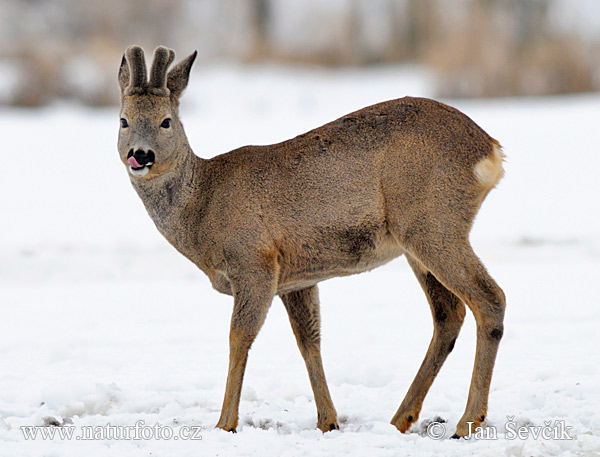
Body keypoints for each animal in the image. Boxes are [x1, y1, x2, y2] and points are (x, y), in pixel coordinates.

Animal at [117, 45, 506, 434]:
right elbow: (309, 339)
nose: (140, 154)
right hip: (420, 240)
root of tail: (490, 149)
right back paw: (401, 418)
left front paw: (225, 424)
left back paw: (467, 421)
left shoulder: (255, 263)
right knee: (449, 313)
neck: (203, 204)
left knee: (490, 298)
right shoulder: (296, 279)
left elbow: (238, 337)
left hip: (432, 222)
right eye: (123, 121)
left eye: (166, 121)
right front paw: (328, 421)